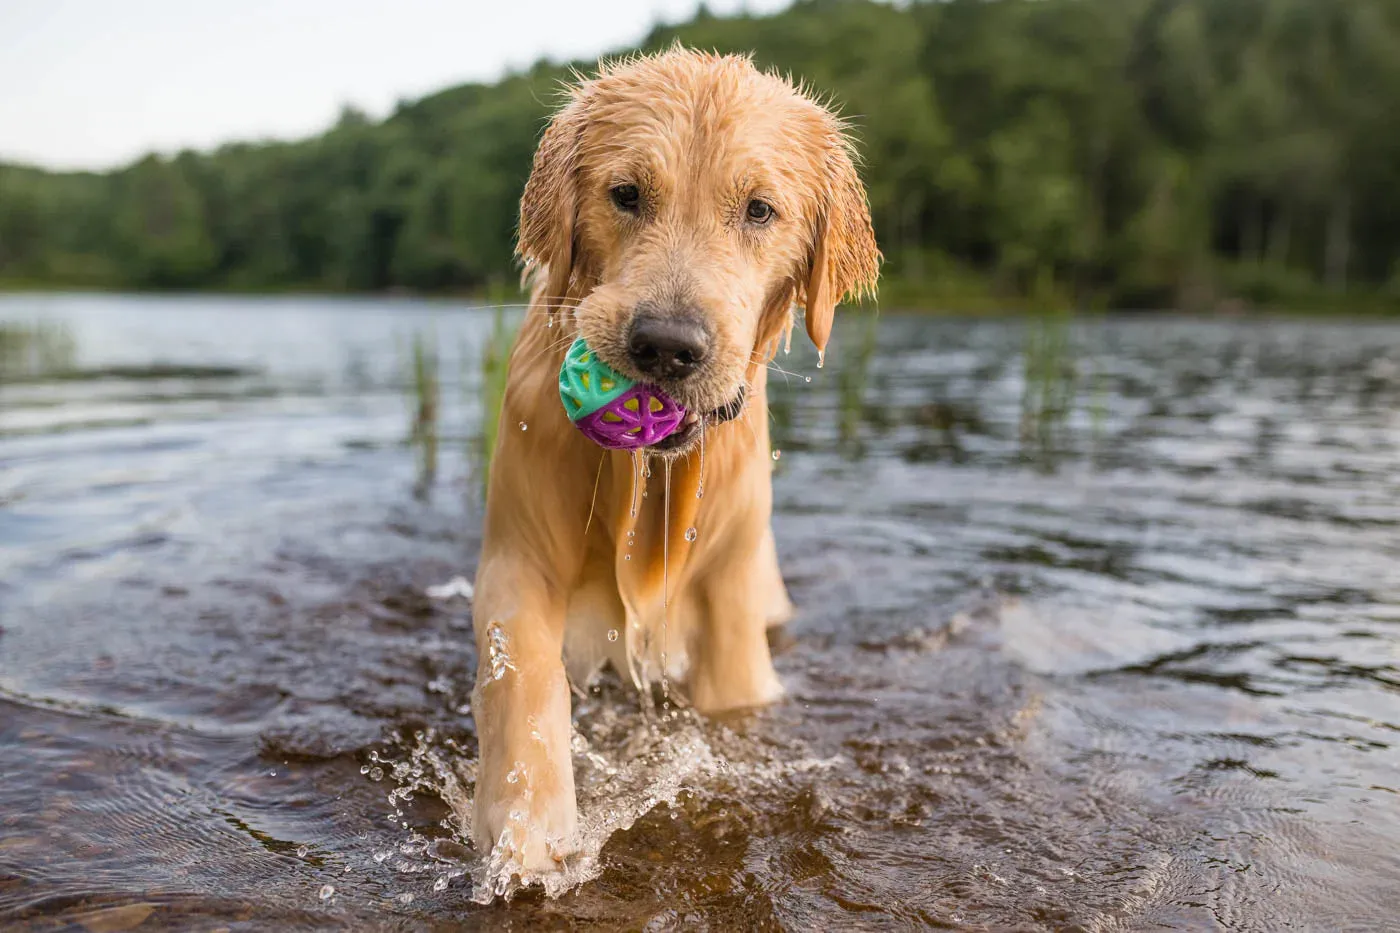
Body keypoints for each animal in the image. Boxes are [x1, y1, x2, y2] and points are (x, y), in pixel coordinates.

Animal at [476, 43, 879, 874]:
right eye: (626, 194)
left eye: (759, 209)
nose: (666, 345)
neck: (650, 475)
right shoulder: (517, 555)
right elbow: (522, 682)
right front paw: (528, 831)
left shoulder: (730, 596)